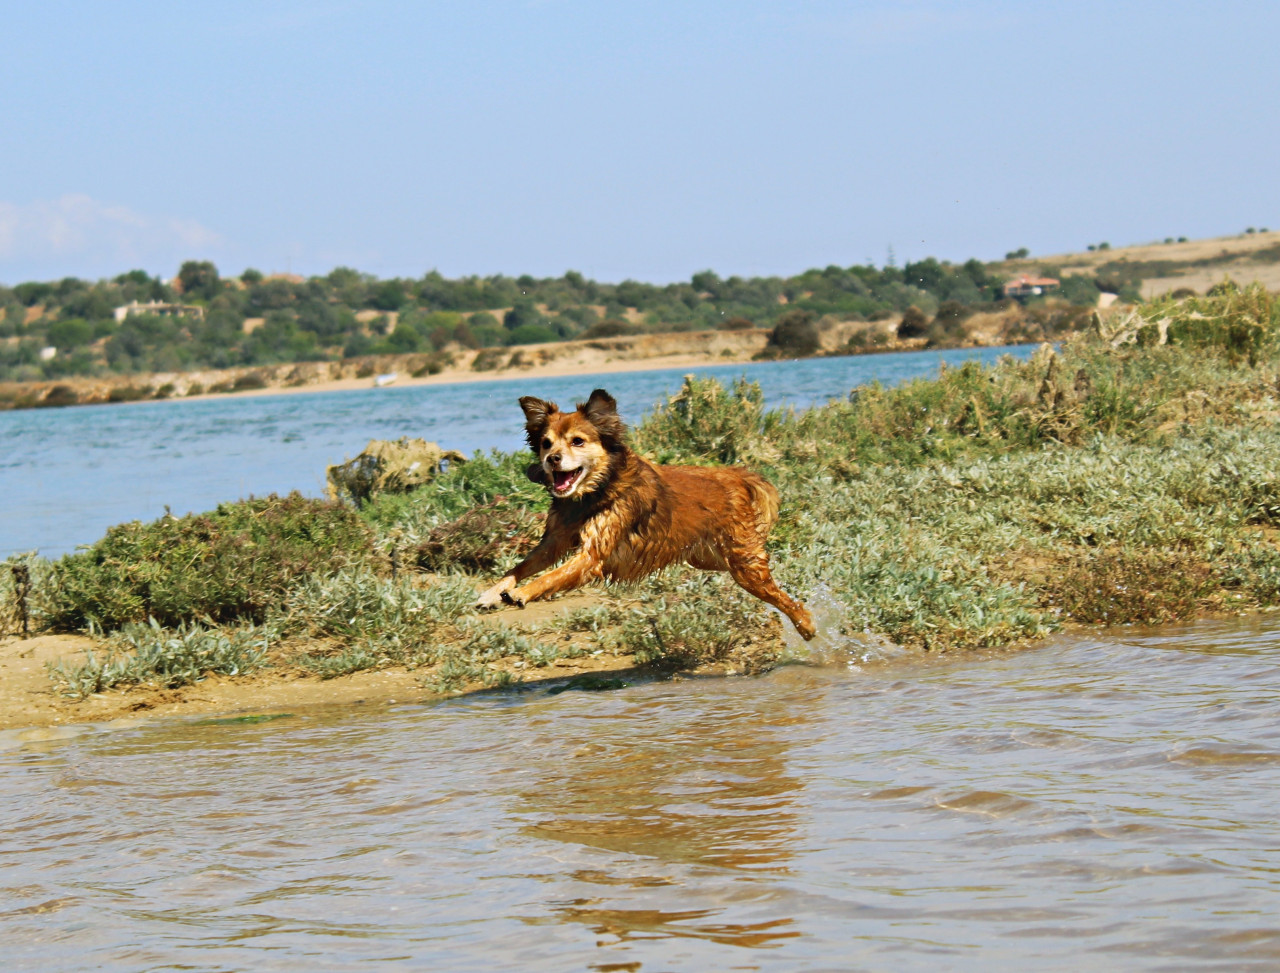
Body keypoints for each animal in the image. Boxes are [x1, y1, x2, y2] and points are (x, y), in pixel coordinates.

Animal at [476, 386, 814, 637]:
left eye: (577, 441)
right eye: (546, 443)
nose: (552, 459)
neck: (592, 494)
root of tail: (734, 474)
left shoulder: (592, 555)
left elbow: (551, 576)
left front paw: (523, 593)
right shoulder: (554, 541)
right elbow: (521, 567)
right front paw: (493, 592)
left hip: (744, 565)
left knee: (782, 596)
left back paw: (806, 623)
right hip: (710, 558)